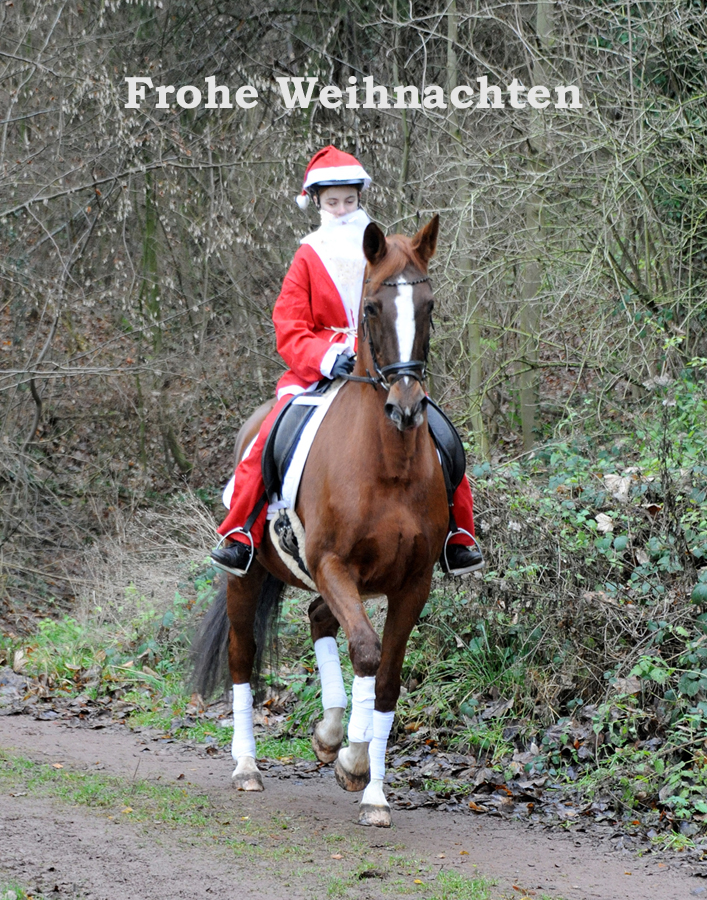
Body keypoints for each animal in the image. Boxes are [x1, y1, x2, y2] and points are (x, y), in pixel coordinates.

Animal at [191, 214, 448, 828]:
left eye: (429, 305)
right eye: (372, 307)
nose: (407, 407)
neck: (388, 464)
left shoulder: (413, 583)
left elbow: (387, 677)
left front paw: (372, 788)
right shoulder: (332, 564)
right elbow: (367, 651)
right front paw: (356, 760)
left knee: (317, 619)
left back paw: (330, 729)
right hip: (249, 577)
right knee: (243, 657)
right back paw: (247, 766)